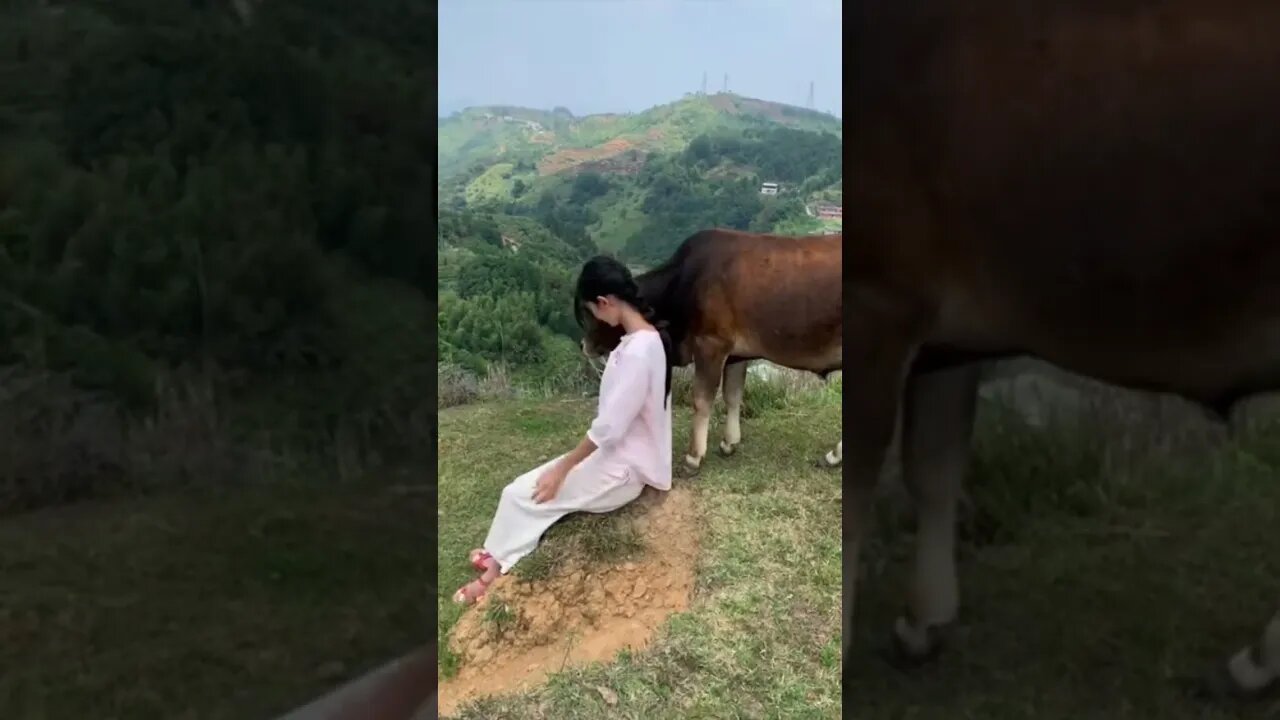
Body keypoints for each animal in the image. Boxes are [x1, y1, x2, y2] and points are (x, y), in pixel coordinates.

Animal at [578, 228, 839, 471]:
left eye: (591, 313)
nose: (584, 345)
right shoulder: (736, 354)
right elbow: (733, 395)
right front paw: (729, 443)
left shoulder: (710, 344)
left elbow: (702, 400)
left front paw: (693, 457)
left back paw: (833, 456)